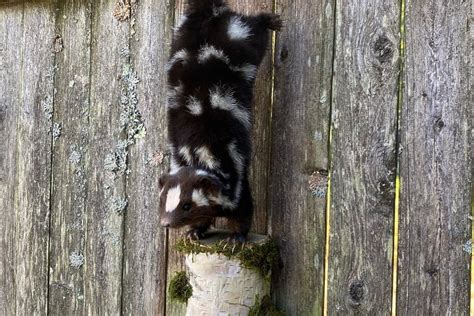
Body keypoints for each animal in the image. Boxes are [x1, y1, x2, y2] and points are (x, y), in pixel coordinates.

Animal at [159, 0, 282, 243]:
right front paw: (195, 231)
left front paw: (235, 238)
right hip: (179, 37)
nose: (166, 223)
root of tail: (207, 14)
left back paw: (270, 21)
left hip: (238, 36)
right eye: (164, 202)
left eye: (187, 206)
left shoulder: (234, 170)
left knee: (255, 32)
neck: (198, 155)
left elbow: (242, 207)